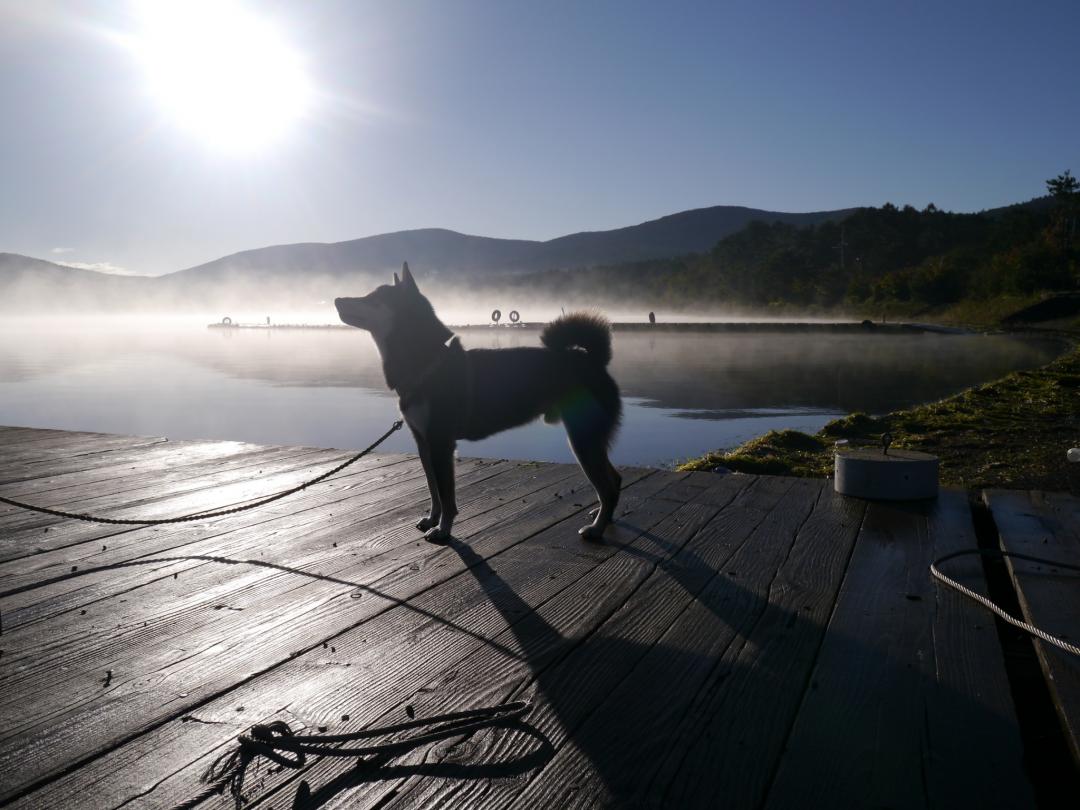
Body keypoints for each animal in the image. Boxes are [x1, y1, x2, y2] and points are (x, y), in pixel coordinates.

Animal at [336, 266, 626, 542]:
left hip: (583, 440)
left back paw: (597, 529)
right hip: (590, 440)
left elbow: (446, 496)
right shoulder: (423, 442)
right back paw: (603, 516)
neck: (427, 364)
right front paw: (432, 520)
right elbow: (433, 491)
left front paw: (443, 530)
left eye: (374, 298)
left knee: (608, 487)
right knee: (615, 479)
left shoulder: (440, 443)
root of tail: (594, 360)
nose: (337, 299)